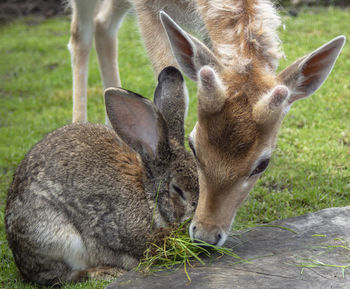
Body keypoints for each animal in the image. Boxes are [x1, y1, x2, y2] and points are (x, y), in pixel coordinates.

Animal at [67, 1, 344, 246]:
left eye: (262, 164)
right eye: (194, 147)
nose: (205, 235)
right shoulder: (145, 6)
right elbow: (169, 69)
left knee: (103, 24)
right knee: (80, 33)